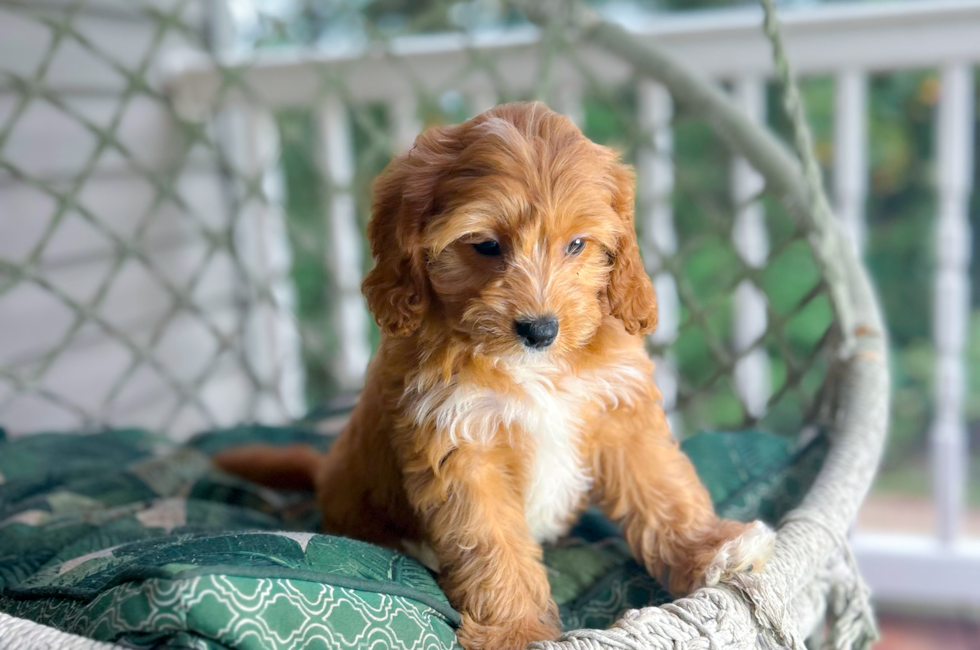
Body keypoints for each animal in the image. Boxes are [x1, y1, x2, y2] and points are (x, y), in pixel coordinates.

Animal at [216, 101, 772, 648]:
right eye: (484, 245)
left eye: (576, 245)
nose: (540, 329)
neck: (534, 367)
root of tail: (324, 473)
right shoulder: (459, 441)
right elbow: (490, 542)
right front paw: (516, 630)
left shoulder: (621, 408)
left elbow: (660, 488)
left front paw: (710, 548)